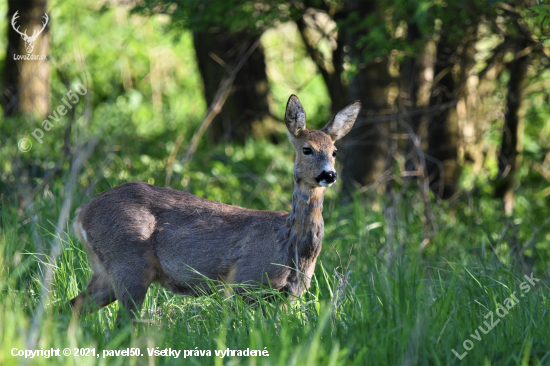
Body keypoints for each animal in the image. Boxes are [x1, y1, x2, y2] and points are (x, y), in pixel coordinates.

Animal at [70, 96, 362, 316]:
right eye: (307, 149)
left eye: (334, 151)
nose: (329, 174)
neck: (291, 246)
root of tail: (81, 214)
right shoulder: (245, 281)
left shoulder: (290, 294)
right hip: (128, 261)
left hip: (105, 269)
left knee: (72, 306)